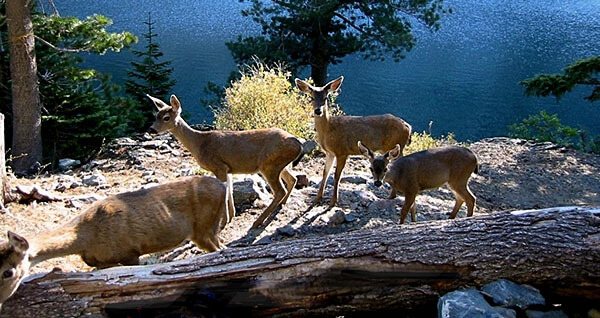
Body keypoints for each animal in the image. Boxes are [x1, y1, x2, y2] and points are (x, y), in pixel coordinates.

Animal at [0, 176, 227, 308]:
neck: (86, 238)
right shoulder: (101, 262)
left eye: (7, 272)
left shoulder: (129, 252)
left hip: (204, 228)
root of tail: (223, 187)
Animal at [146, 94, 304, 229]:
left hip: (269, 165)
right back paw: (281, 205)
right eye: (156, 116)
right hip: (279, 164)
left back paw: (257, 222)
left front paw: (223, 222)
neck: (199, 143)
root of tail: (299, 144)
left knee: (280, 190)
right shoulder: (228, 169)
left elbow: (224, 192)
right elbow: (230, 191)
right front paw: (231, 217)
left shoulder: (219, 166)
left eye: (166, 117)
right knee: (292, 179)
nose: (151, 129)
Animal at [296, 76, 412, 207]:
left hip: (397, 146)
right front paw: (317, 199)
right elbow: (325, 173)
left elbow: (337, 176)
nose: (318, 111)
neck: (328, 129)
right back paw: (392, 196)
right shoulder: (330, 152)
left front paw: (333, 201)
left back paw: (393, 196)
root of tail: (408, 127)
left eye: (325, 98)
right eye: (312, 97)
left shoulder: (342, 151)